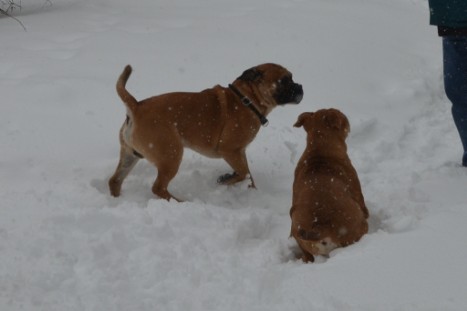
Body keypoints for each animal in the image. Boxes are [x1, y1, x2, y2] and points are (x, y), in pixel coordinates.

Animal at [109, 62, 304, 202]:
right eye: (284, 80)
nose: (300, 87)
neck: (247, 100)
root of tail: (136, 107)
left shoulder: (239, 152)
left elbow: (248, 174)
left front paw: (250, 190)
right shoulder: (230, 151)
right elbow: (243, 173)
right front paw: (225, 179)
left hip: (130, 156)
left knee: (115, 181)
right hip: (171, 155)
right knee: (158, 187)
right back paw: (180, 202)